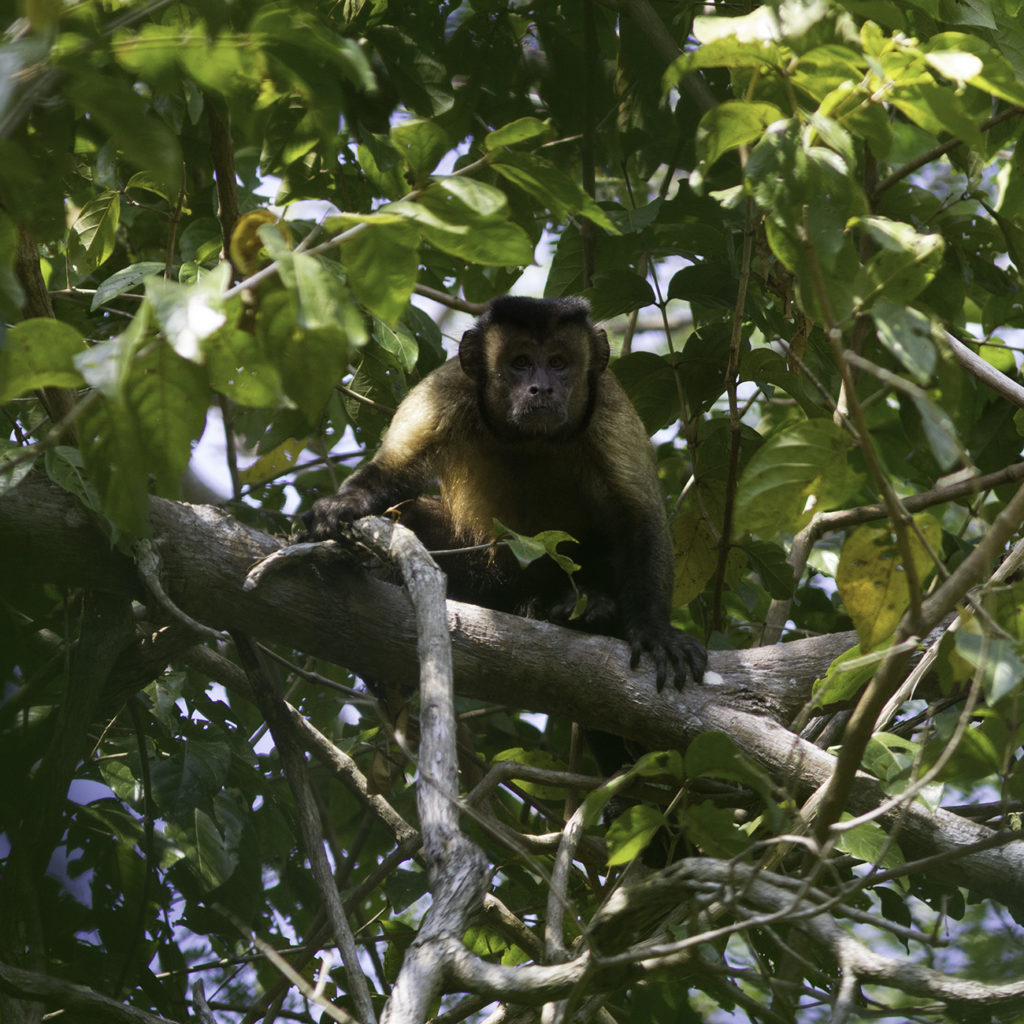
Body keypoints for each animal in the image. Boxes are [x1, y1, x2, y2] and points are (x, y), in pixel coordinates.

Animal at [299, 292, 708, 765]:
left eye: (559, 363)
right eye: (521, 363)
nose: (542, 388)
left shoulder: (608, 404)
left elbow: (638, 518)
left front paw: (656, 632)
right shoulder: (446, 389)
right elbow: (393, 472)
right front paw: (342, 505)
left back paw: (582, 610)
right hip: (488, 578)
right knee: (416, 518)